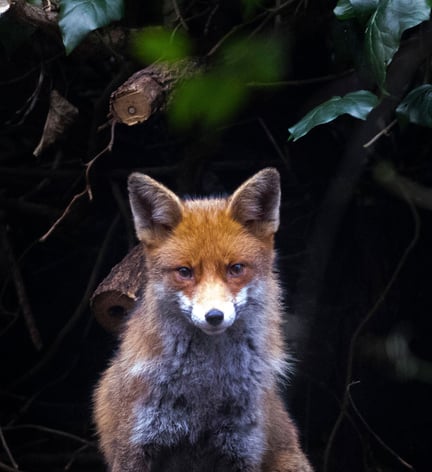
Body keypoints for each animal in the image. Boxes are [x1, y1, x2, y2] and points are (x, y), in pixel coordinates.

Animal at [93, 170, 312, 472]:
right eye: (185, 272)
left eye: (236, 269)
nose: (214, 316)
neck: (206, 388)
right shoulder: (134, 445)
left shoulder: (242, 448)